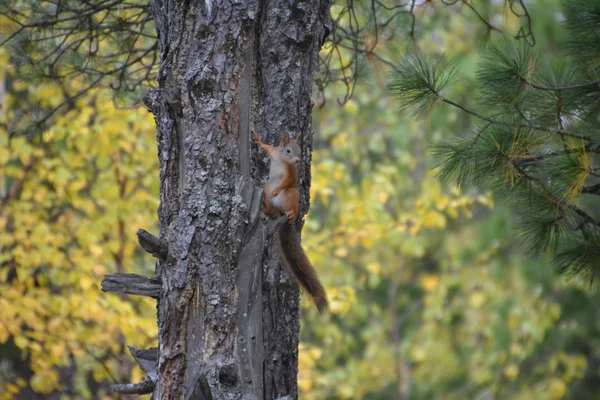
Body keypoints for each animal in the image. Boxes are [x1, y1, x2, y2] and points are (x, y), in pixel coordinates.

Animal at [252, 131, 330, 312]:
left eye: (300, 150)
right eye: (288, 150)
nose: (297, 161)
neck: (282, 161)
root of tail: (280, 213)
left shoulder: (290, 173)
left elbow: (287, 181)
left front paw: (278, 190)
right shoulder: (274, 152)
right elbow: (267, 147)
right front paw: (257, 140)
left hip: (292, 195)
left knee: (290, 201)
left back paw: (291, 213)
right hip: (267, 186)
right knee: (268, 200)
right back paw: (265, 208)